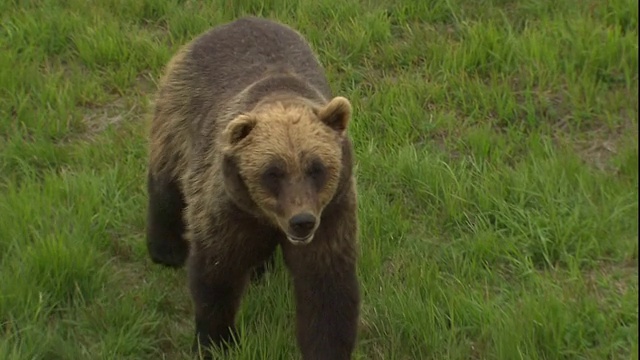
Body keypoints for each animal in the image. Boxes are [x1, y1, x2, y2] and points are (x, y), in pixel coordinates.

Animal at [146, 16, 362, 360]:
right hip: (178, 111)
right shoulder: (227, 210)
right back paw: (166, 248)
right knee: (167, 178)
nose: (302, 221)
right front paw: (215, 340)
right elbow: (216, 275)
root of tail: (232, 22)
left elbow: (327, 291)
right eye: (272, 172)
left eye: (317, 168)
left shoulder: (332, 214)